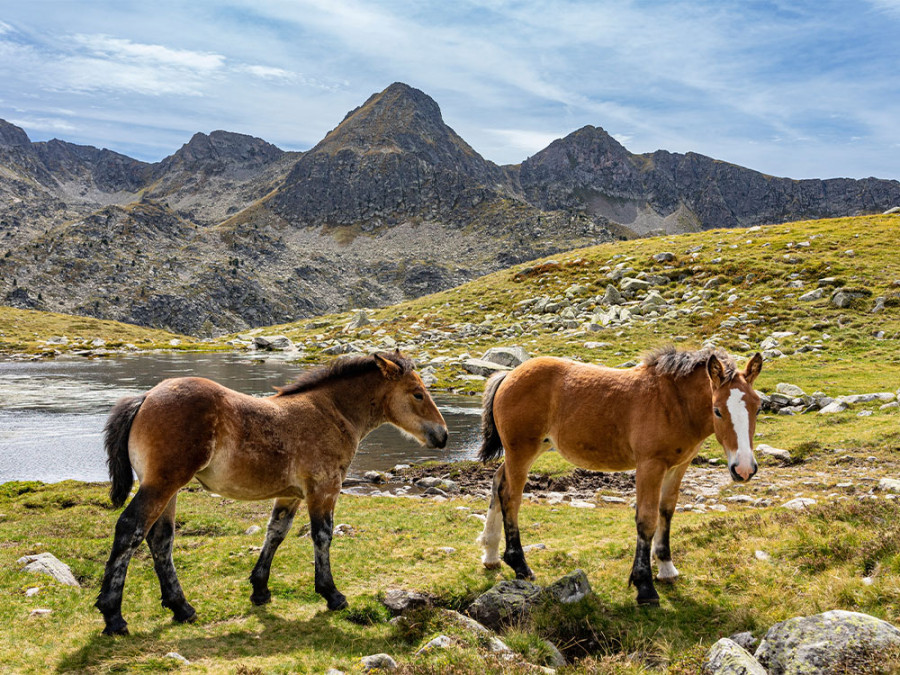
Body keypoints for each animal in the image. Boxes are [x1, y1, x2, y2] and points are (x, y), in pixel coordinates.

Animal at [95, 352, 446, 636]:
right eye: (418, 394)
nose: (442, 435)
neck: (333, 413)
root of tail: (145, 397)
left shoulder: (291, 495)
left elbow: (275, 533)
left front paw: (260, 590)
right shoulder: (323, 489)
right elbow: (322, 536)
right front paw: (332, 594)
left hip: (169, 489)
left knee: (160, 540)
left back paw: (182, 607)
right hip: (162, 484)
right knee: (130, 530)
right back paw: (113, 617)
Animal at [474, 348, 764, 608]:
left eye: (758, 408)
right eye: (717, 410)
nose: (744, 469)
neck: (674, 403)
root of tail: (509, 375)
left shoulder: (678, 466)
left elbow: (666, 512)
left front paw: (666, 568)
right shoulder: (650, 464)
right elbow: (646, 519)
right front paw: (645, 587)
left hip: (531, 450)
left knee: (498, 483)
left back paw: (490, 553)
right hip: (521, 451)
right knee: (511, 497)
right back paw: (520, 565)